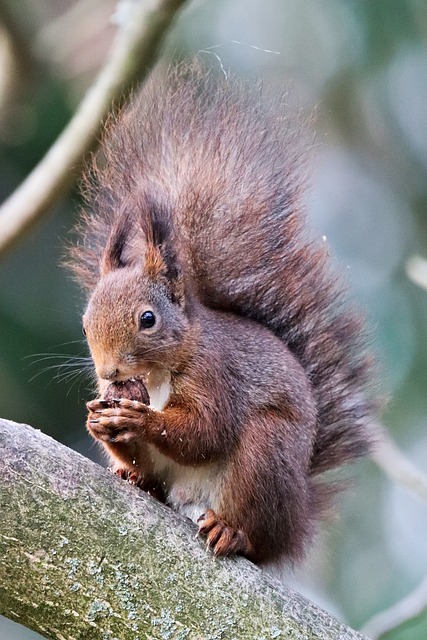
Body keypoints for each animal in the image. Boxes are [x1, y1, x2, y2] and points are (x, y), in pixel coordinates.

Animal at [67, 60, 374, 564]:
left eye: (148, 319)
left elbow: (206, 431)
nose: (109, 373)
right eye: (87, 322)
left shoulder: (217, 376)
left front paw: (141, 420)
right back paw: (136, 478)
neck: (159, 374)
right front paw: (102, 421)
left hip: (265, 455)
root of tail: (294, 524)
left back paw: (233, 532)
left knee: (253, 528)